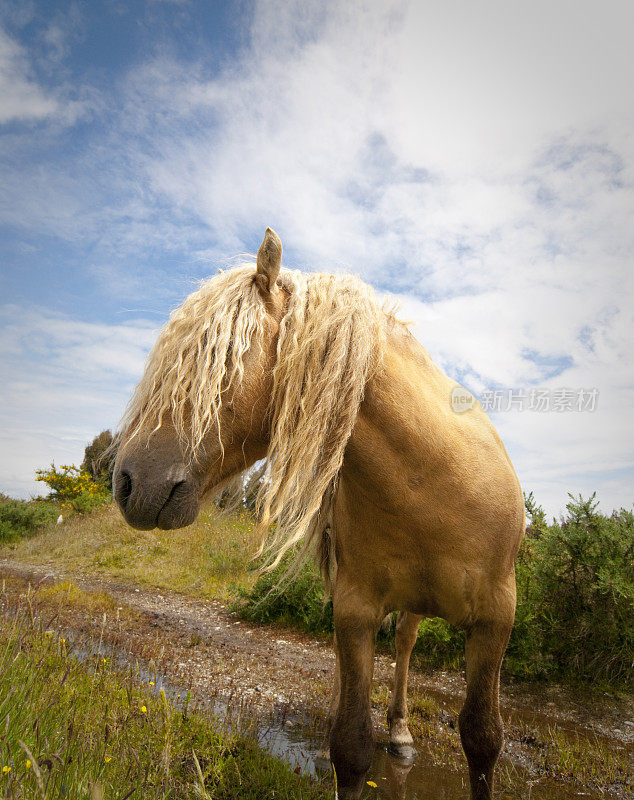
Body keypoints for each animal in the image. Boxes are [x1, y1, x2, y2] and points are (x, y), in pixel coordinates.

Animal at [112, 228, 524, 796]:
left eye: (220, 356)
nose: (128, 482)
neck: (435, 482)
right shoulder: (354, 610)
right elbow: (349, 746)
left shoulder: (496, 618)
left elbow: (482, 739)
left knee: (404, 646)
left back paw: (399, 730)